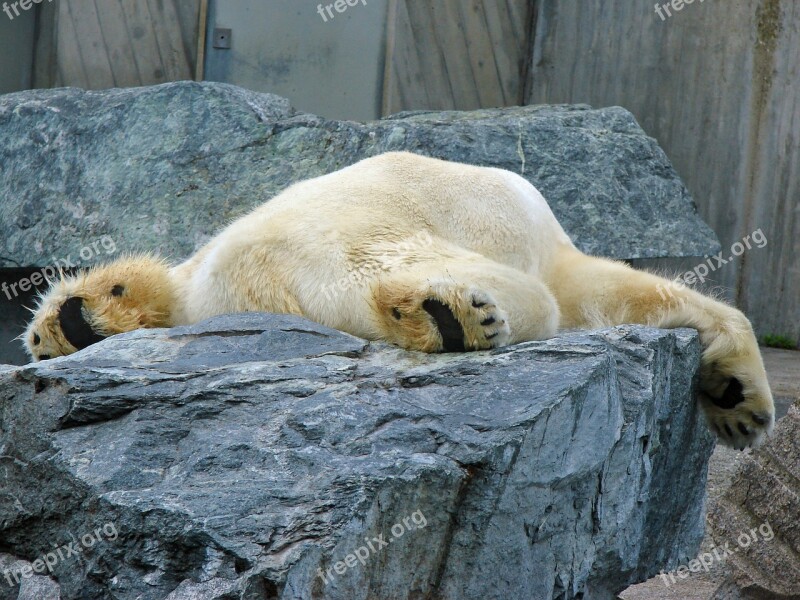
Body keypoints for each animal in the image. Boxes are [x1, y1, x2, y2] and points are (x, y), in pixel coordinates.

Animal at [26, 152, 776, 448]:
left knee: (170, 289)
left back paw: (83, 315)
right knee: (506, 293)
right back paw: (452, 315)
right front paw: (745, 401)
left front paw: (733, 399)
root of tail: (251, 278)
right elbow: (598, 294)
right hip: (362, 234)